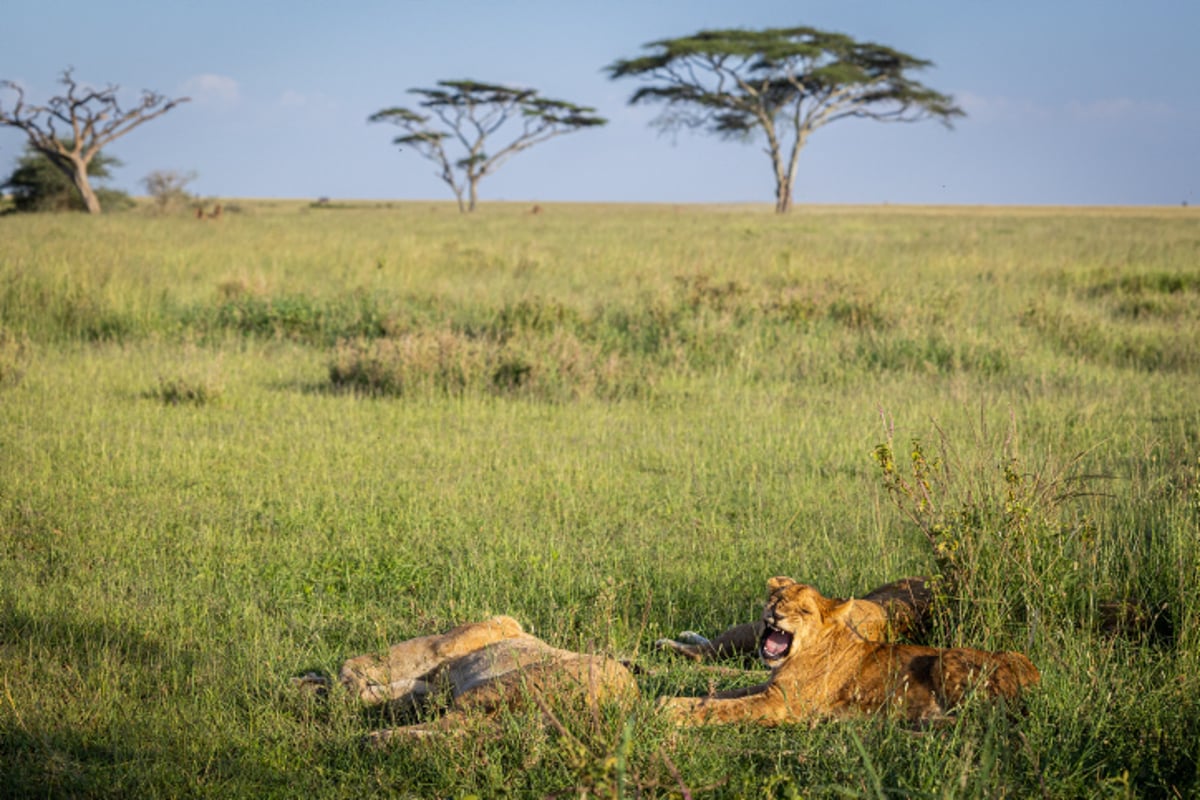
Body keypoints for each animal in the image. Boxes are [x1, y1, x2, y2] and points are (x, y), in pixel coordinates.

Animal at [333, 618, 643, 743]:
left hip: (505, 685)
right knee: (469, 730)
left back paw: (380, 739)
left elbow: (376, 661)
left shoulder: (439, 647)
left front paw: (345, 687)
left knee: (460, 726)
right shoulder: (436, 682)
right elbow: (405, 687)